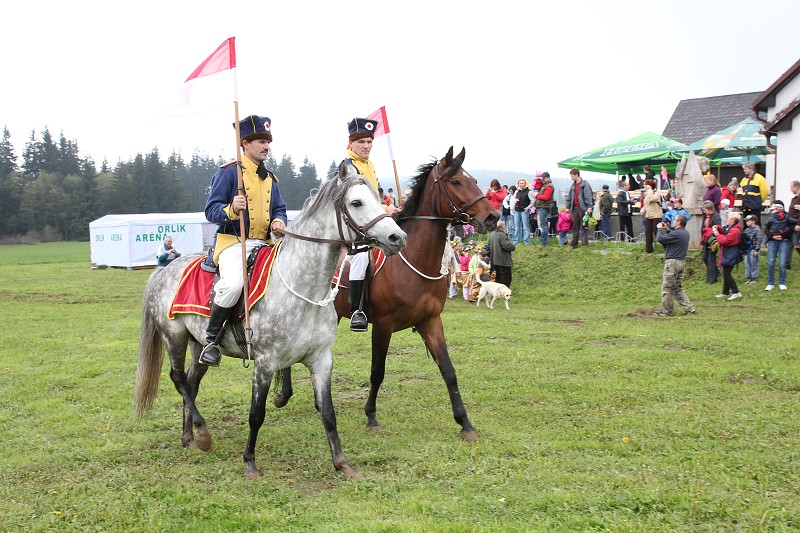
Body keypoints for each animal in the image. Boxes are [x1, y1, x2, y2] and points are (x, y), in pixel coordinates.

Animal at [134, 161, 406, 478]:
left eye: (378, 198)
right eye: (356, 202)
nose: (397, 238)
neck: (302, 288)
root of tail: (162, 270)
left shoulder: (321, 359)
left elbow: (327, 411)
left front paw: (342, 462)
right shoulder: (265, 363)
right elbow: (257, 413)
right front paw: (250, 462)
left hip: (199, 344)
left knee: (191, 383)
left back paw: (189, 436)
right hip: (173, 337)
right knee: (178, 379)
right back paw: (202, 434)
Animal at [278, 145, 496, 440]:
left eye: (473, 179)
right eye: (456, 182)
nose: (492, 217)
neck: (413, 262)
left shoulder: (430, 321)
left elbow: (448, 370)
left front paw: (465, 422)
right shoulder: (383, 324)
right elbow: (377, 371)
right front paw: (371, 417)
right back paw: (284, 395)